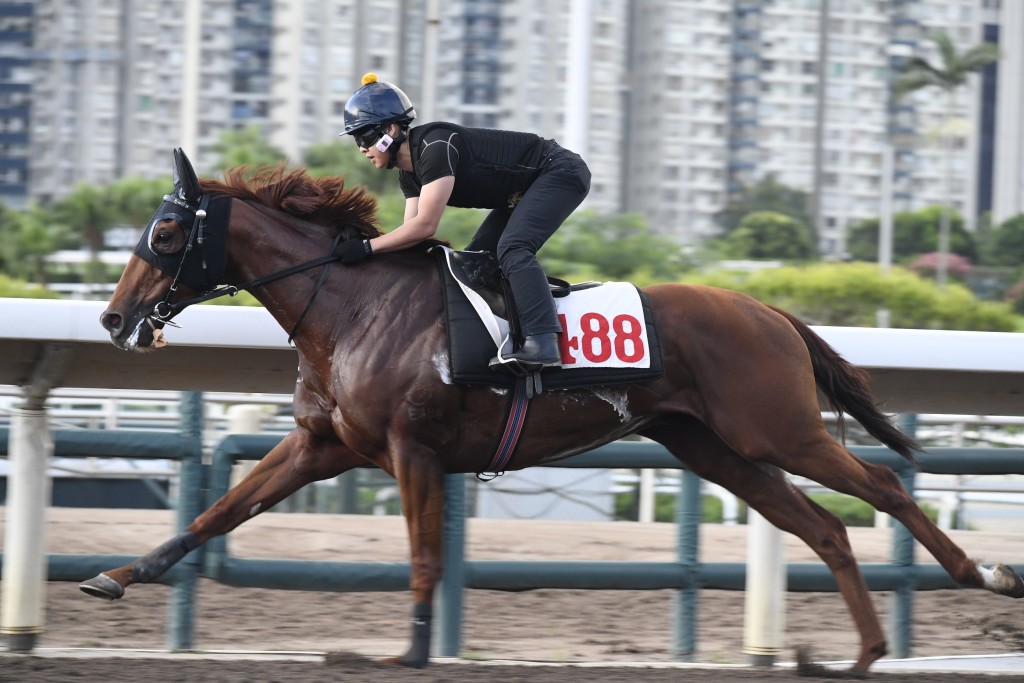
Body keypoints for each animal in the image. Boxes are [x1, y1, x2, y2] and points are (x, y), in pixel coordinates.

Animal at [81, 150, 1024, 671]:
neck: (352, 305)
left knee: (883, 489)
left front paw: (408, 651)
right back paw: (859, 654)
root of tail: (768, 310)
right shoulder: (325, 444)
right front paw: (116, 574)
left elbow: (424, 557)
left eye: (166, 233)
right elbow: (215, 512)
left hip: (774, 428)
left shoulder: (413, 451)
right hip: (713, 448)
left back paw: (985, 575)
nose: (114, 319)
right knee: (823, 527)